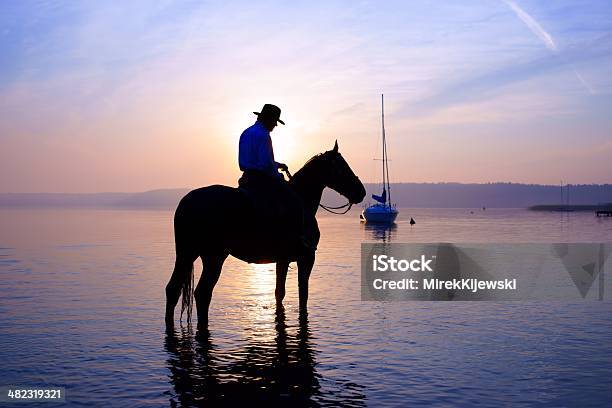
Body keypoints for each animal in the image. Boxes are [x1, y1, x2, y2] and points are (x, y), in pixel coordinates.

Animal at [165, 140, 366, 328]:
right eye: (342, 167)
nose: (361, 192)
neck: (303, 201)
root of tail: (187, 202)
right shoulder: (306, 258)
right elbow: (303, 295)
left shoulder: (283, 259)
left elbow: (279, 293)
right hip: (214, 256)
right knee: (202, 293)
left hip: (187, 254)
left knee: (173, 289)